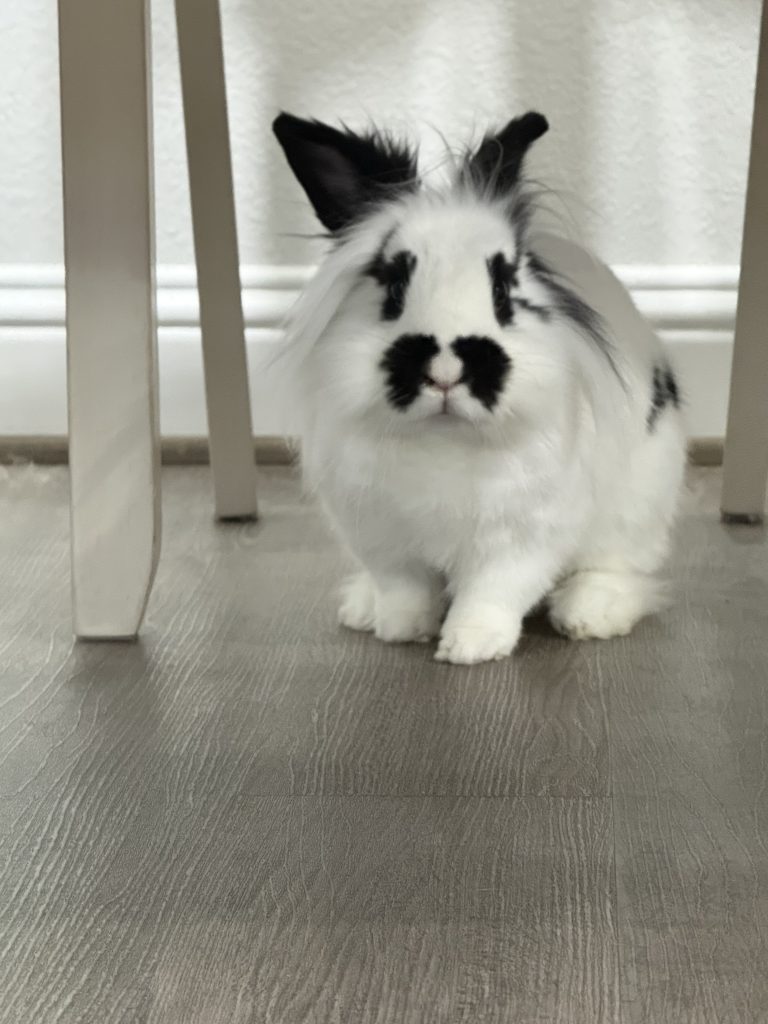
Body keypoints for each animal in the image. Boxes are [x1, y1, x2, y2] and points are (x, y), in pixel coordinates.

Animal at [271, 111, 686, 665]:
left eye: (503, 289)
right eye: (393, 286)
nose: (446, 369)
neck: (444, 439)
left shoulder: (525, 536)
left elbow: (494, 592)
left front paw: (470, 647)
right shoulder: (381, 536)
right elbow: (403, 588)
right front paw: (400, 629)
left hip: (637, 510)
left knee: (622, 571)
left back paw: (587, 613)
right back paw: (361, 608)